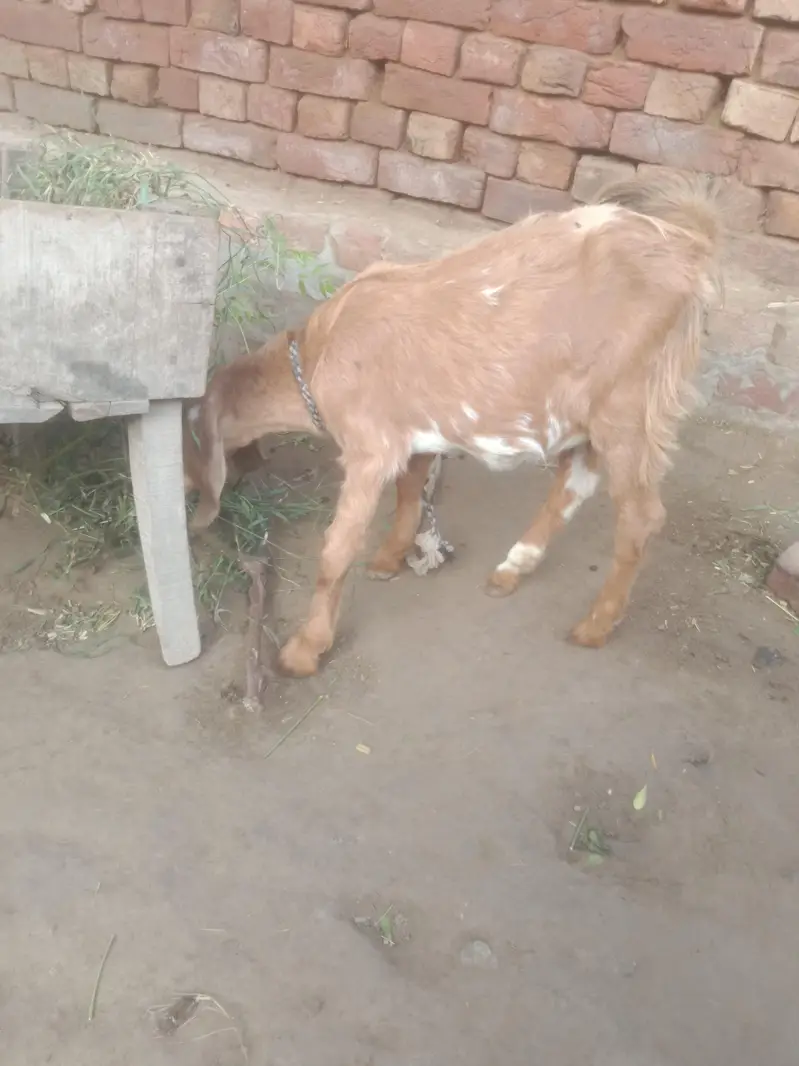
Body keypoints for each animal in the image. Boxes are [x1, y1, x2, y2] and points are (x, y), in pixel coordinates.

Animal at [184, 174, 722, 678]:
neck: (320, 352)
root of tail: (691, 245)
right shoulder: (413, 430)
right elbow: (409, 490)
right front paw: (390, 558)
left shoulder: (369, 446)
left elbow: (336, 550)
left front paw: (304, 650)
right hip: (588, 413)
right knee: (574, 483)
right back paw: (513, 568)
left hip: (630, 403)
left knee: (640, 515)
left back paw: (594, 625)